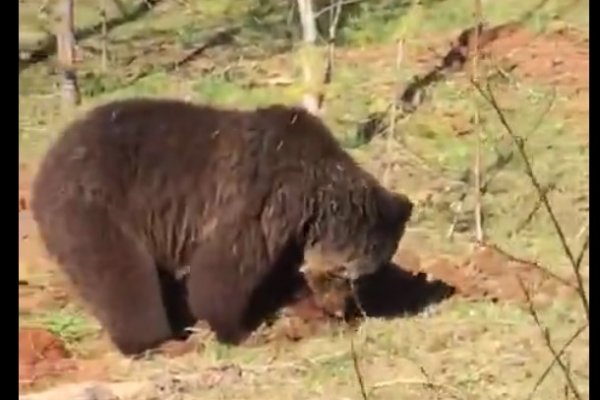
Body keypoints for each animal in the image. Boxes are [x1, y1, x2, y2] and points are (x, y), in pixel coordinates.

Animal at [29, 98, 412, 354]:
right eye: (353, 276)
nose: (341, 308)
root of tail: (45, 163)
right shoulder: (263, 201)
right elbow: (222, 271)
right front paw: (238, 330)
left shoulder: (289, 229)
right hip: (97, 208)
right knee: (123, 278)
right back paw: (157, 341)